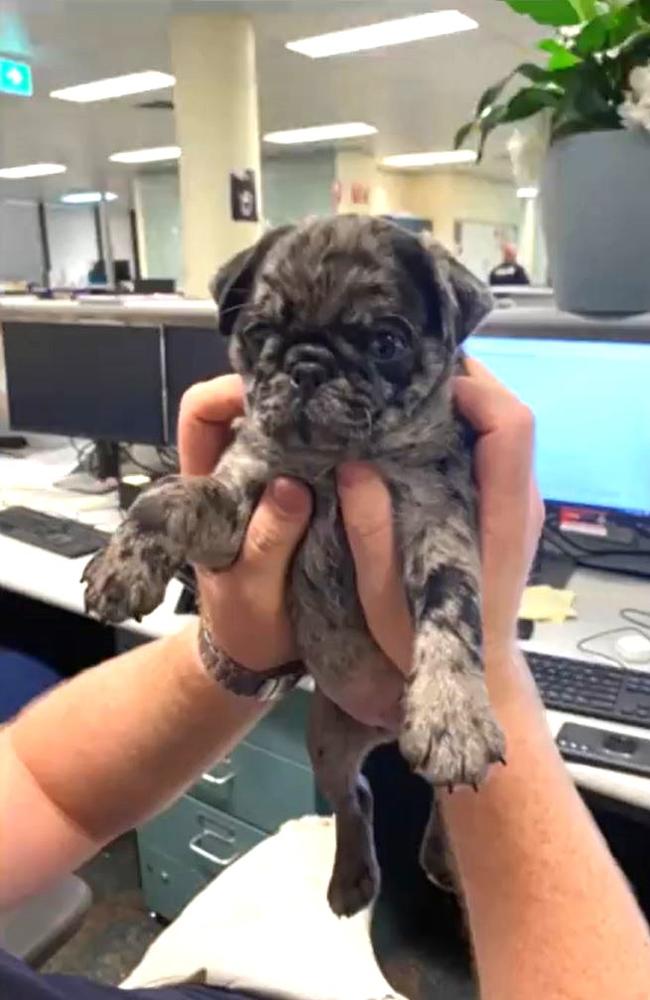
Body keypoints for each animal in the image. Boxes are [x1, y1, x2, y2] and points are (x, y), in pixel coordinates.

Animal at [82, 215, 506, 916]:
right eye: (259, 335)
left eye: (386, 342)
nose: (308, 367)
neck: (334, 463)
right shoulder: (236, 504)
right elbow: (166, 496)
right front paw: (123, 562)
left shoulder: (440, 526)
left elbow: (453, 614)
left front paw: (453, 713)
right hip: (328, 743)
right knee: (356, 799)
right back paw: (352, 878)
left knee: (440, 800)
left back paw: (440, 851)